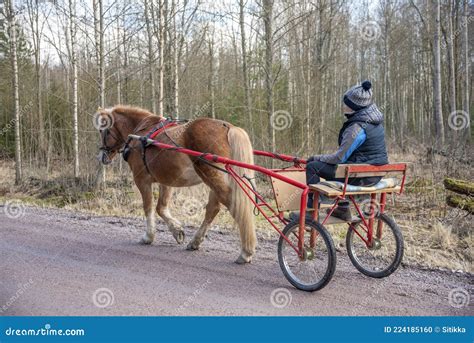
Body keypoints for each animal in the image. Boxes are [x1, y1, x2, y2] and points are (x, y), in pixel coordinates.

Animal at [95, 106, 258, 264]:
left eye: (103, 130)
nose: (102, 156)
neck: (141, 132)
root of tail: (229, 128)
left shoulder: (141, 180)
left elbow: (148, 207)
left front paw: (148, 236)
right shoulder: (166, 180)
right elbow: (161, 208)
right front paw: (177, 230)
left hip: (211, 175)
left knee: (232, 204)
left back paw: (245, 252)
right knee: (213, 209)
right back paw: (195, 242)